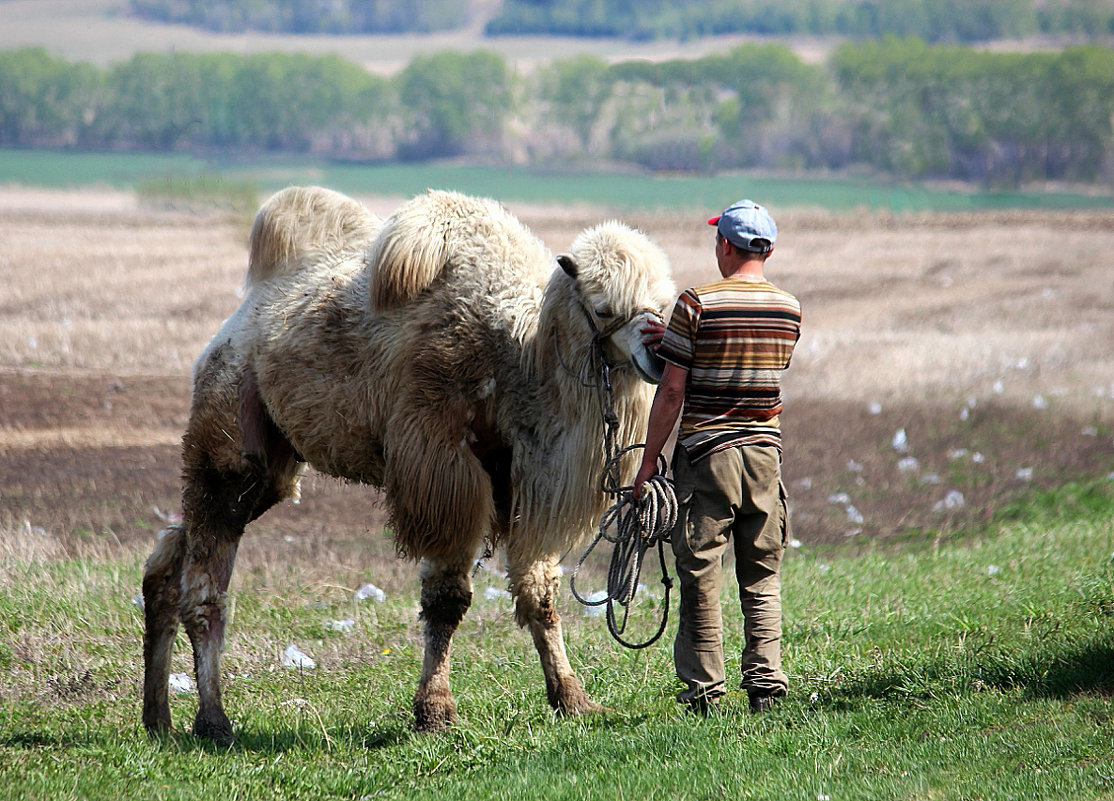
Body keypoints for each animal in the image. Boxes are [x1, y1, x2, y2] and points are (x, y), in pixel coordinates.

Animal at [139, 184, 677, 744]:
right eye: (604, 307)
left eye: (665, 303)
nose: (658, 354)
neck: (517, 355)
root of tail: (231, 327)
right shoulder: (442, 465)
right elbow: (447, 598)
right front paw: (435, 710)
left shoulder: (524, 482)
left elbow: (539, 595)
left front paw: (573, 699)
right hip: (228, 425)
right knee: (205, 584)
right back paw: (212, 720)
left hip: (271, 467)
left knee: (169, 558)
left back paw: (158, 717)